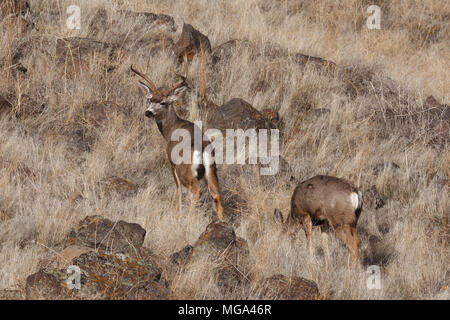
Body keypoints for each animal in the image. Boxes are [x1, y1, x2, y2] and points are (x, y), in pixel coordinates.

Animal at [131, 65, 224, 220]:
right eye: (149, 100)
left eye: (163, 102)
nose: (148, 112)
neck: (170, 129)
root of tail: (201, 147)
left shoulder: (172, 163)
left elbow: (178, 190)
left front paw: (178, 213)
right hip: (211, 169)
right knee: (216, 193)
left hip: (185, 169)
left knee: (196, 191)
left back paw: (190, 218)